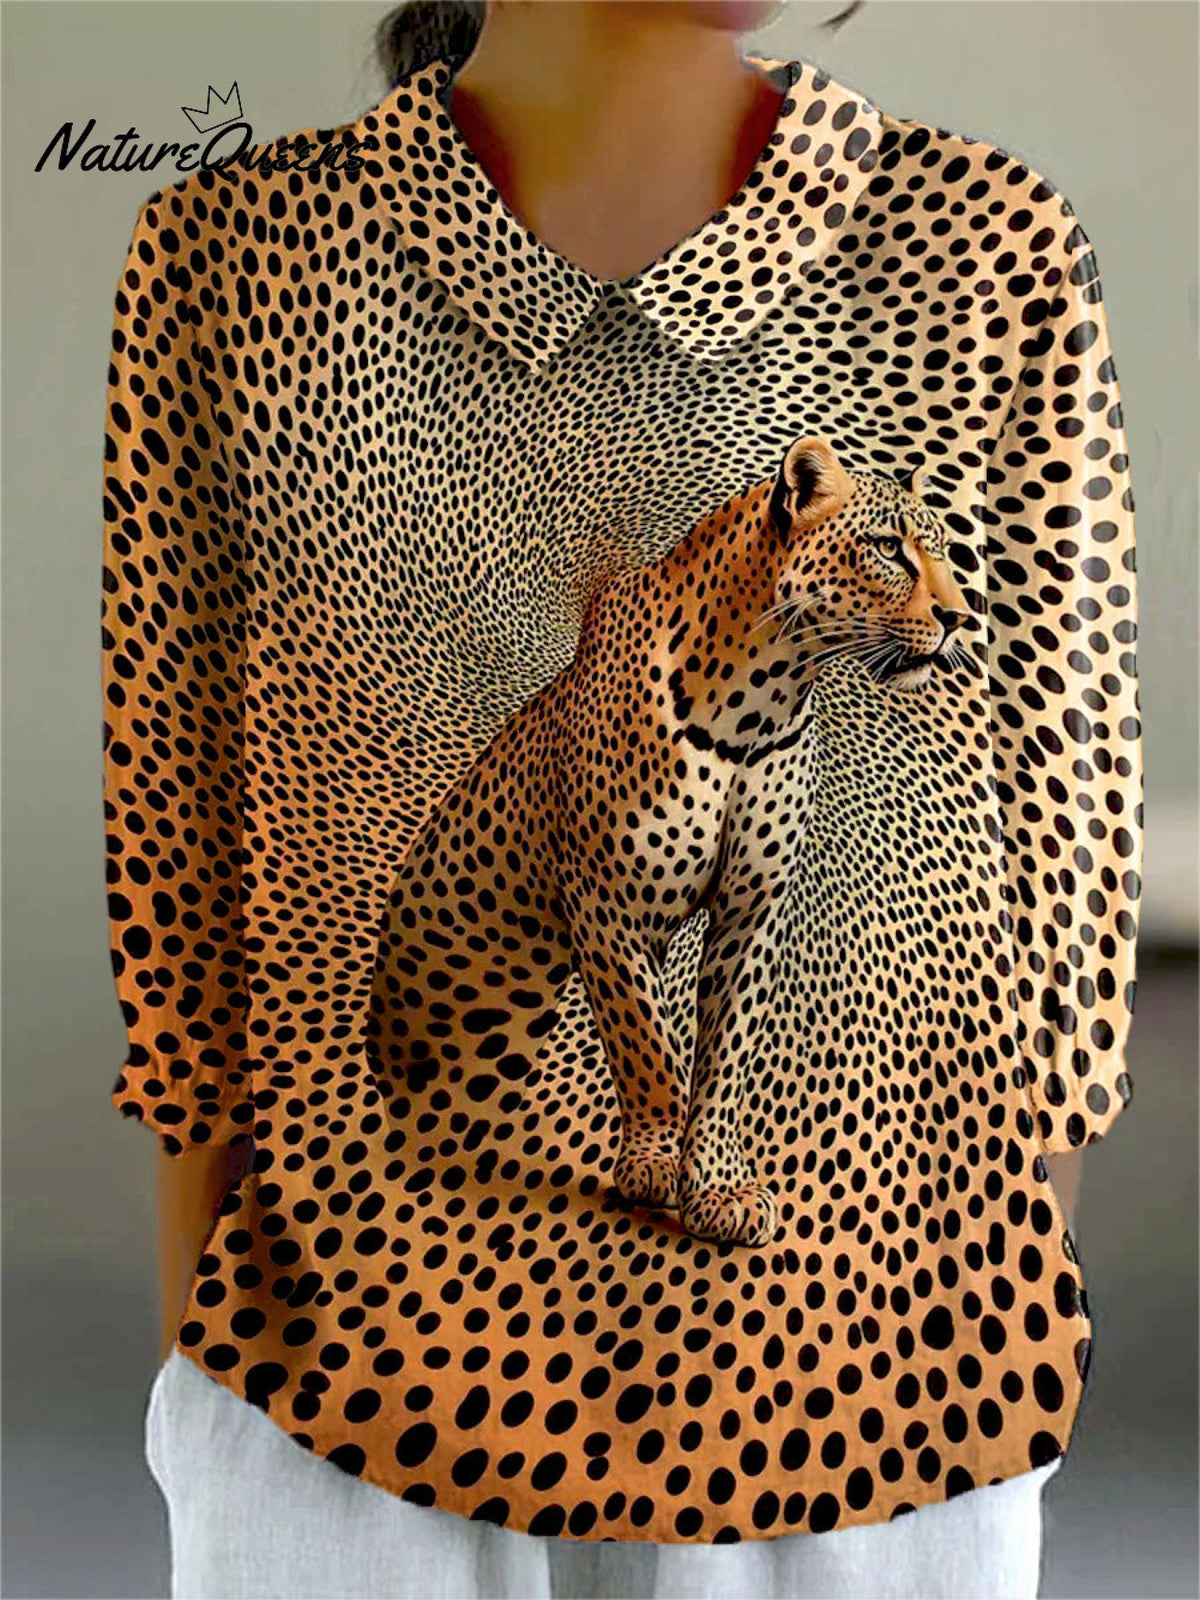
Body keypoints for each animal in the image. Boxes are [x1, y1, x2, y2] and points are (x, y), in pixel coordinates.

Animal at [363, 435, 976, 1247]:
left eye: (941, 552)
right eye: (887, 549)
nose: (961, 617)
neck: (761, 698)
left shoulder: (753, 910)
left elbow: (726, 1058)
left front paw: (719, 1188)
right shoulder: (607, 904)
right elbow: (647, 1044)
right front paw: (653, 1168)